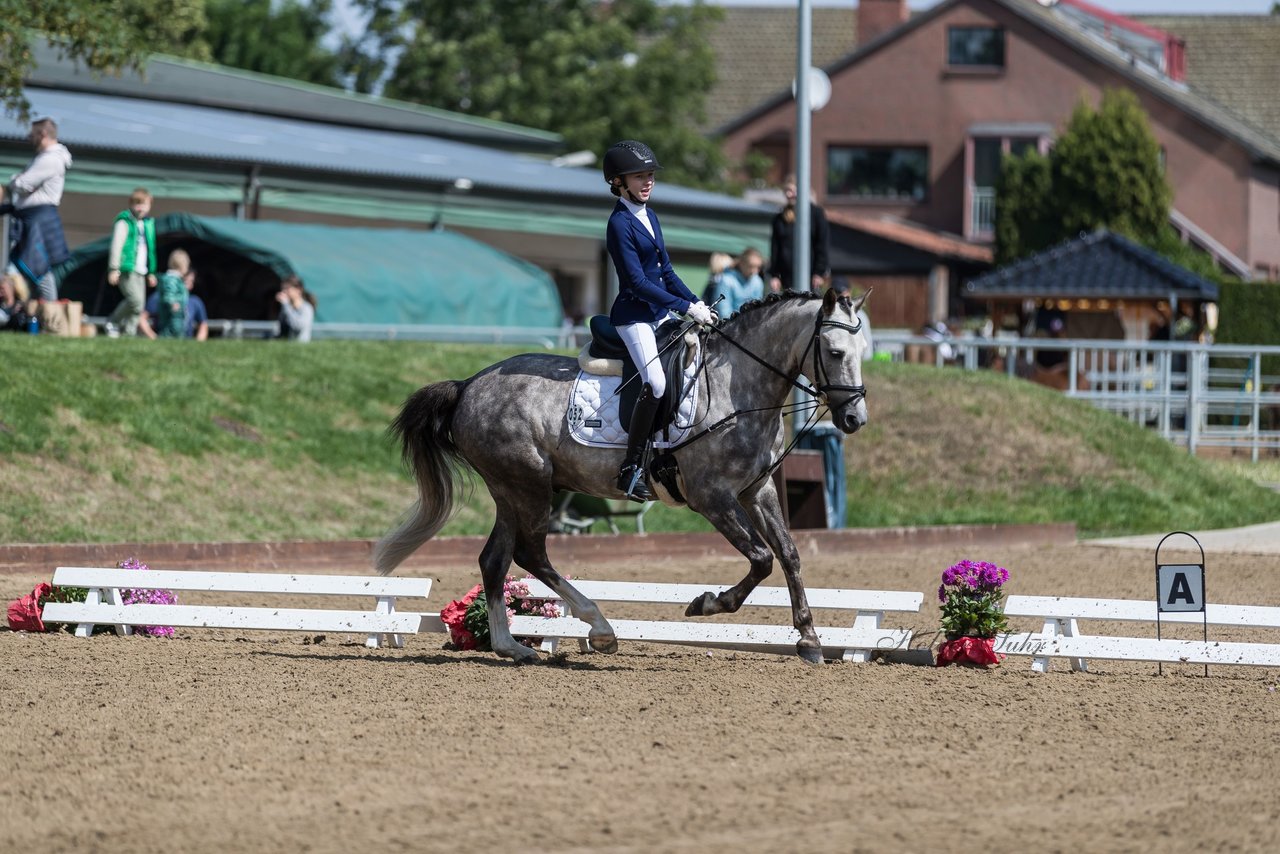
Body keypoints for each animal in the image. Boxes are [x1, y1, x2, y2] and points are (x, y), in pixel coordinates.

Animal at [373, 290, 870, 665]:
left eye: (863, 353)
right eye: (835, 352)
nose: (854, 420)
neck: (739, 387)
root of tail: (468, 385)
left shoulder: (756, 489)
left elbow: (788, 554)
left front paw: (809, 640)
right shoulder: (712, 497)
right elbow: (762, 558)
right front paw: (706, 603)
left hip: (510, 491)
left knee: (496, 560)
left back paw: (512, 647)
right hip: (529, 486)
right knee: (531, 553)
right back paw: (599, 628)